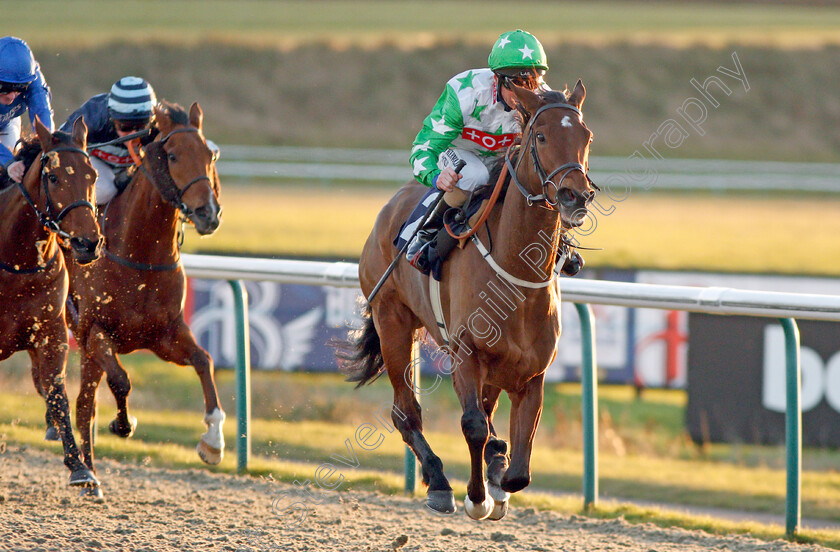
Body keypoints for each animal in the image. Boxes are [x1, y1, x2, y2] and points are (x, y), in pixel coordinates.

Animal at [0, 118, 102, 490]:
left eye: (92, 174)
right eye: (54, 177)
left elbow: (58, 394)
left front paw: (81, 469)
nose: (88, 243)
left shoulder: (51, 331)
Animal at [65, 100, 223, 500]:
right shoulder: (95, 331)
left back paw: (88, 476)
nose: (208, 214)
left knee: (84, 404)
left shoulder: (164, 334)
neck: (139, 255)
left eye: (210, 154)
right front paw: (124, 424)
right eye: (173, 154)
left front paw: (213, 442)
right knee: (87, 401)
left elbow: (205, 361)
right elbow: (121, 380)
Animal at [338, 81, 592, 516]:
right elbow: (473, 425)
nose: (577, 196)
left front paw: (499, 476)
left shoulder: (531, 373)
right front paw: (477, 497)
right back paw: (439, 482)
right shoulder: (466, 354)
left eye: (586, 136)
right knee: (405, 413)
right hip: (392, 320)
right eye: (541, 137)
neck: (517, 275)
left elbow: (518, 467)